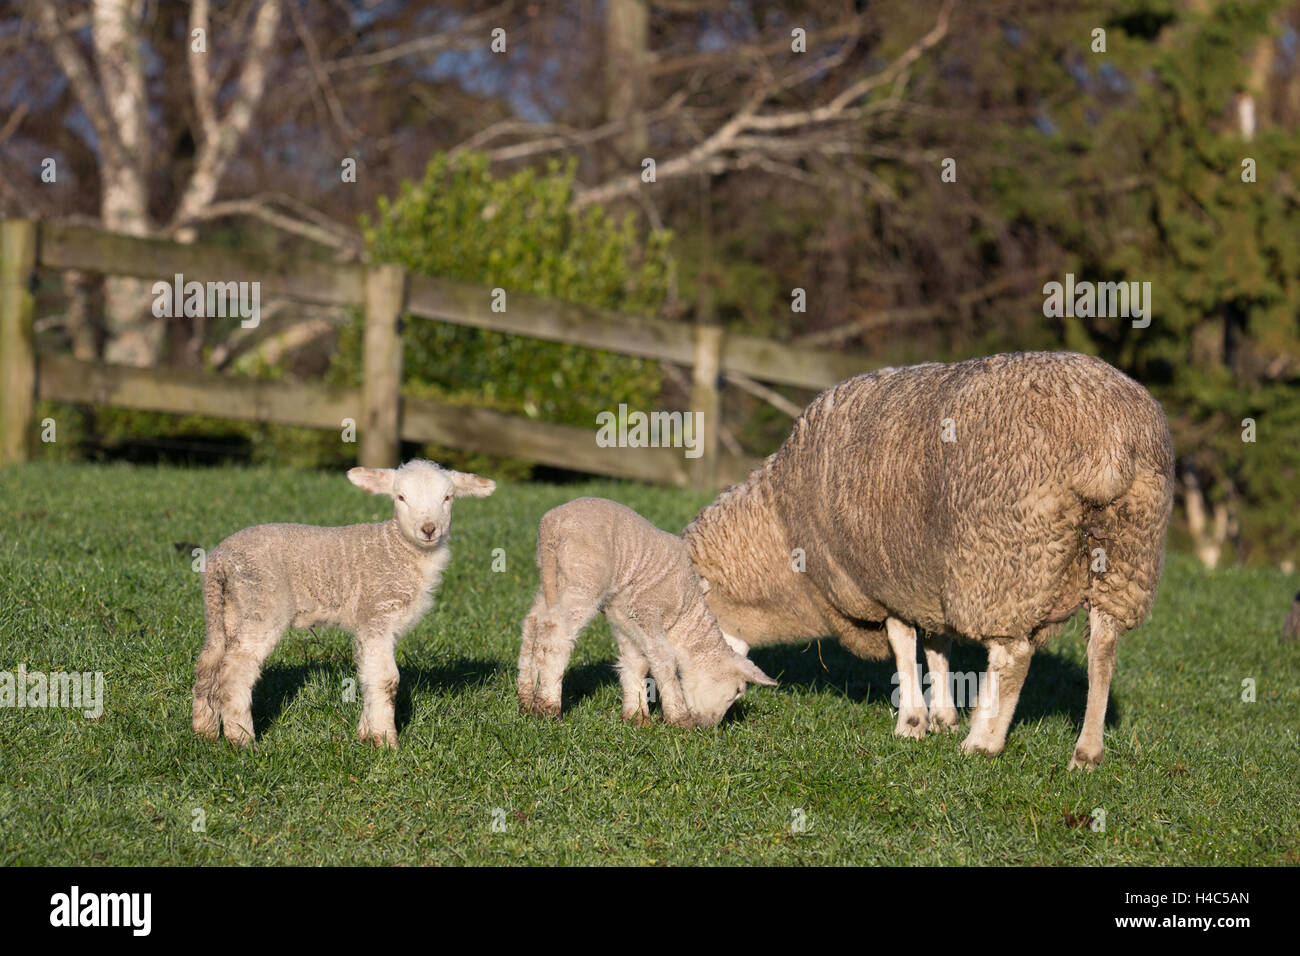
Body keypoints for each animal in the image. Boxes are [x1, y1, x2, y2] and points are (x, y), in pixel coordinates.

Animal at [189, 460, 493, 749]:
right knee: (236, 672)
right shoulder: (377, 613)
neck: (397, 549)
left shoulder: (372, 624)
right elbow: (387, 680)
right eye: (401, 497)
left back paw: (204, 732)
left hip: (228, 607)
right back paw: (242, 739)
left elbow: (369, 676)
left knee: (209, 662)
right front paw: (386, 742)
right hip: (262, 603)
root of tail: (219, 558)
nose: (429, 529)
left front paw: (366, 735)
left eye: (448, 497)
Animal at [514, 496, 769, 728]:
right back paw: (548, 706)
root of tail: (551, 524)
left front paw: (636, 715)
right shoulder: (649, 610)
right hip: (584, 576)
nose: (709, 727)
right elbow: (664, 662)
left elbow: (634, 662)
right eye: (737, 691)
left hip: (553, 577)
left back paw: (527, 698)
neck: (685, 615)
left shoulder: (626, 620)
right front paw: (679, 718)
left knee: (533, 625)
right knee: (556, 632)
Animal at [686, 351, 1175, 770]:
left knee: (1014, 655)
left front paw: (913, 722)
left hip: (1006, 559)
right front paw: (943, 715)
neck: (785, 530)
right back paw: (1087, 753)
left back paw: (983, 741)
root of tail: (1109, 440)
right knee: (1103, 651)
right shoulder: (927, 571)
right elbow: (938, 643)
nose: (693, 726)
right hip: (1126, 556)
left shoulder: (884, 578)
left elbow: (903, 643)